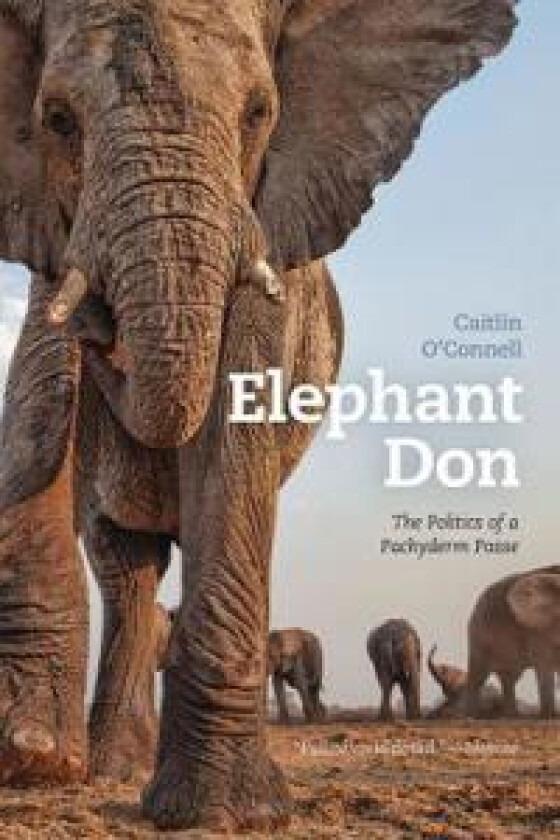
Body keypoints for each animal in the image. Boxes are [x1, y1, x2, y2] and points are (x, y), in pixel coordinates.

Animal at [0, 0, 516, 830]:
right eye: (55, 119)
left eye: (259, 114)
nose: (104, 337)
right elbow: (36, 386)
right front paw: (35, 760)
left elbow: (233, 433)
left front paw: (224, 815)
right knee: (127, 567)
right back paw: (109, 767)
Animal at [466, 566, 560, 719]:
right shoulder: (534, 629)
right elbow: (544, 665)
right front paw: (550, 716)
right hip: (477, 638)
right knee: (478, 677)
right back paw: (471, 717)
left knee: (510, 678)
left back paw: (512, 716)